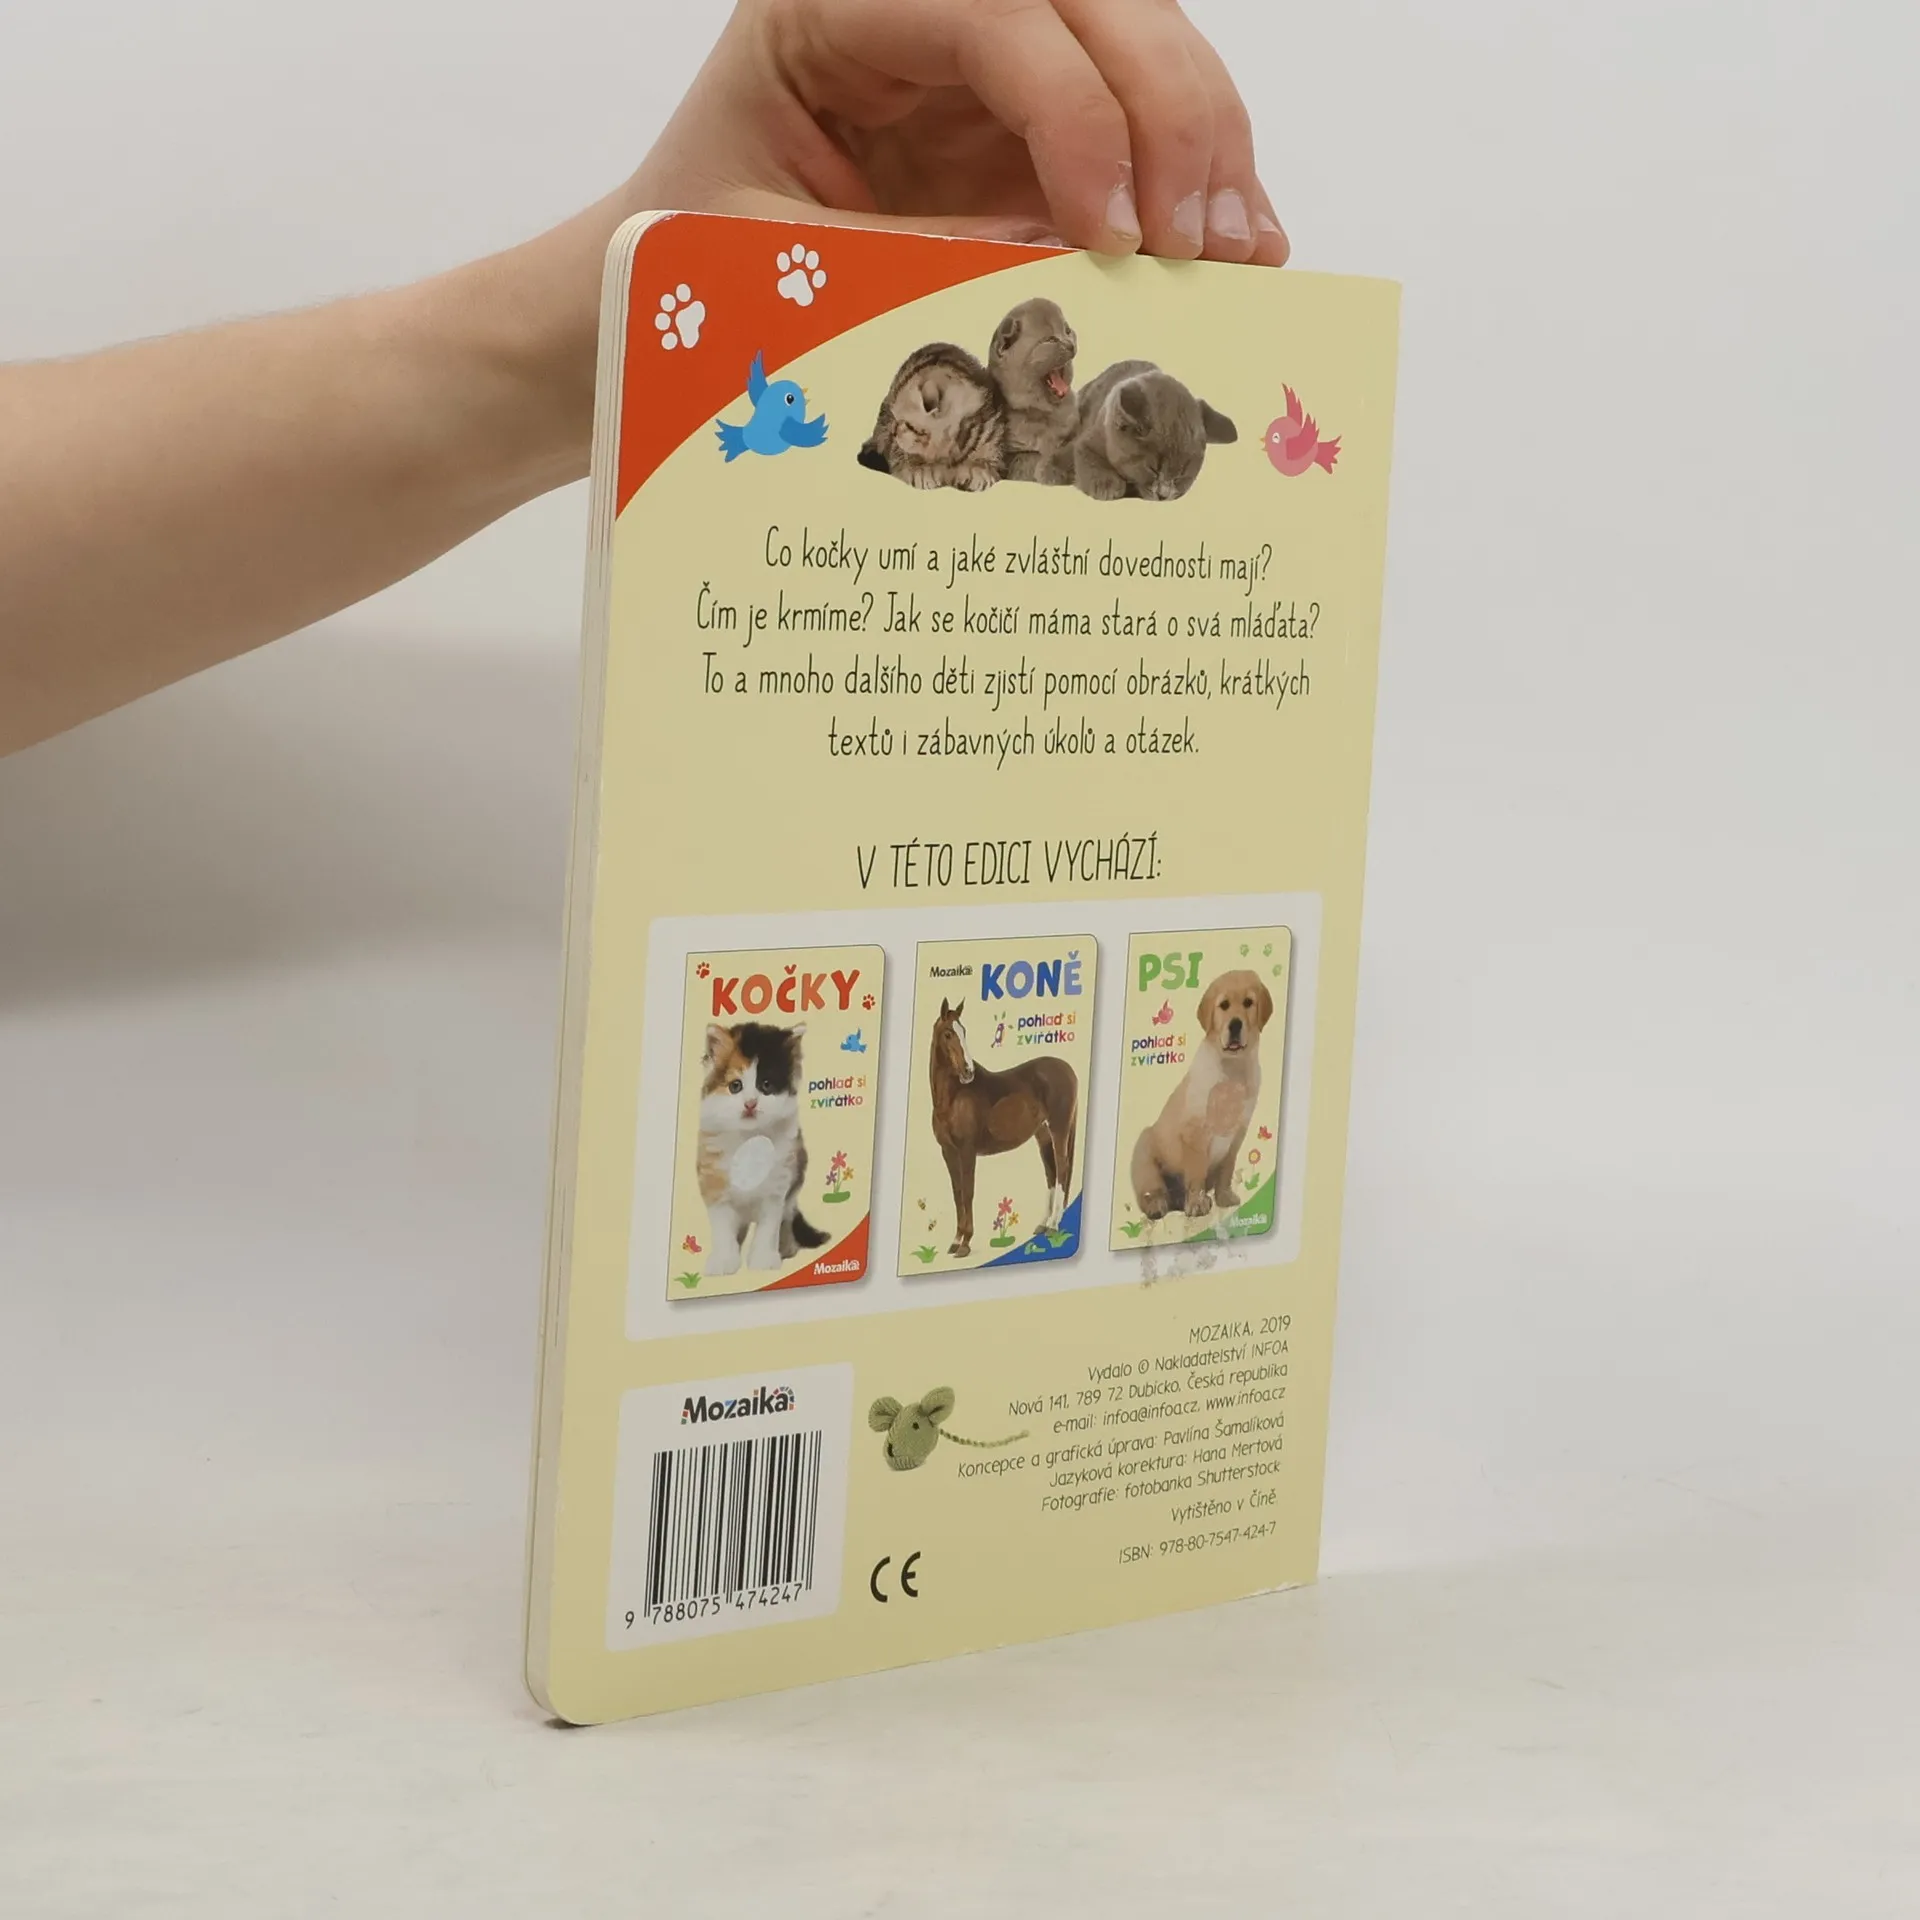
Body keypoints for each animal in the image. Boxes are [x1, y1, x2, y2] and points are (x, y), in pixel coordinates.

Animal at [696, 1021, 831, 1277]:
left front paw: (763, 1260)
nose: (750, 1104)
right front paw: (723, 1261)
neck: (750, 1139)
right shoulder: (714, 1182)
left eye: (766, 1085)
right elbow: (722, 1228)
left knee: (787, 1216)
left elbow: (769, 1227)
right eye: (735, 1086)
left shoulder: (778, 1186)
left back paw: (786, 1246)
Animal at [857, 343, 1007, 492]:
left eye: (908, 425)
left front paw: (978, 470)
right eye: (895, 417)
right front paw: (921, 470)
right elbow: (904, 455)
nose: (893, 432)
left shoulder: (989, 427)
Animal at [926, 999, 1080, 1259]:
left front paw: (965, 1243)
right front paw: (956, 1241)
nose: (968, 1071)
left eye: (963, 1031)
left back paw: (1053, 1225)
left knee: (1062, 1168)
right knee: (1051, 1172)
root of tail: (1069, 1069)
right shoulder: (948, 1151)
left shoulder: (967, 1151)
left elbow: (968, 1192)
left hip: (1058, 1129)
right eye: (948, 1034)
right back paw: (1043, 1224)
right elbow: (957, 1194)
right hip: (1043, 1134)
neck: (953, 1097)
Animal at [1048, 360, 1238, 502]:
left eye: (1182, 475)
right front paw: (1106, 484)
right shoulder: (1088, 440)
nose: (1163, 495)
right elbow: (1087, 455)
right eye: (1152, 469)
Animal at [1130, 970, 1275, 1223]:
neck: (1231, 1069)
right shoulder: (1195, 1132)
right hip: (1144, 1152)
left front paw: (1224, 1197)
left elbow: (1227, 1169)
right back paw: (1158, 1205)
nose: (1235, 1025)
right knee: (1152, 1191)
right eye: (1224, 1005)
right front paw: (1197, 1204)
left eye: (1248, 1002)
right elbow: (1196, 1173)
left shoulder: (1237, 1132)